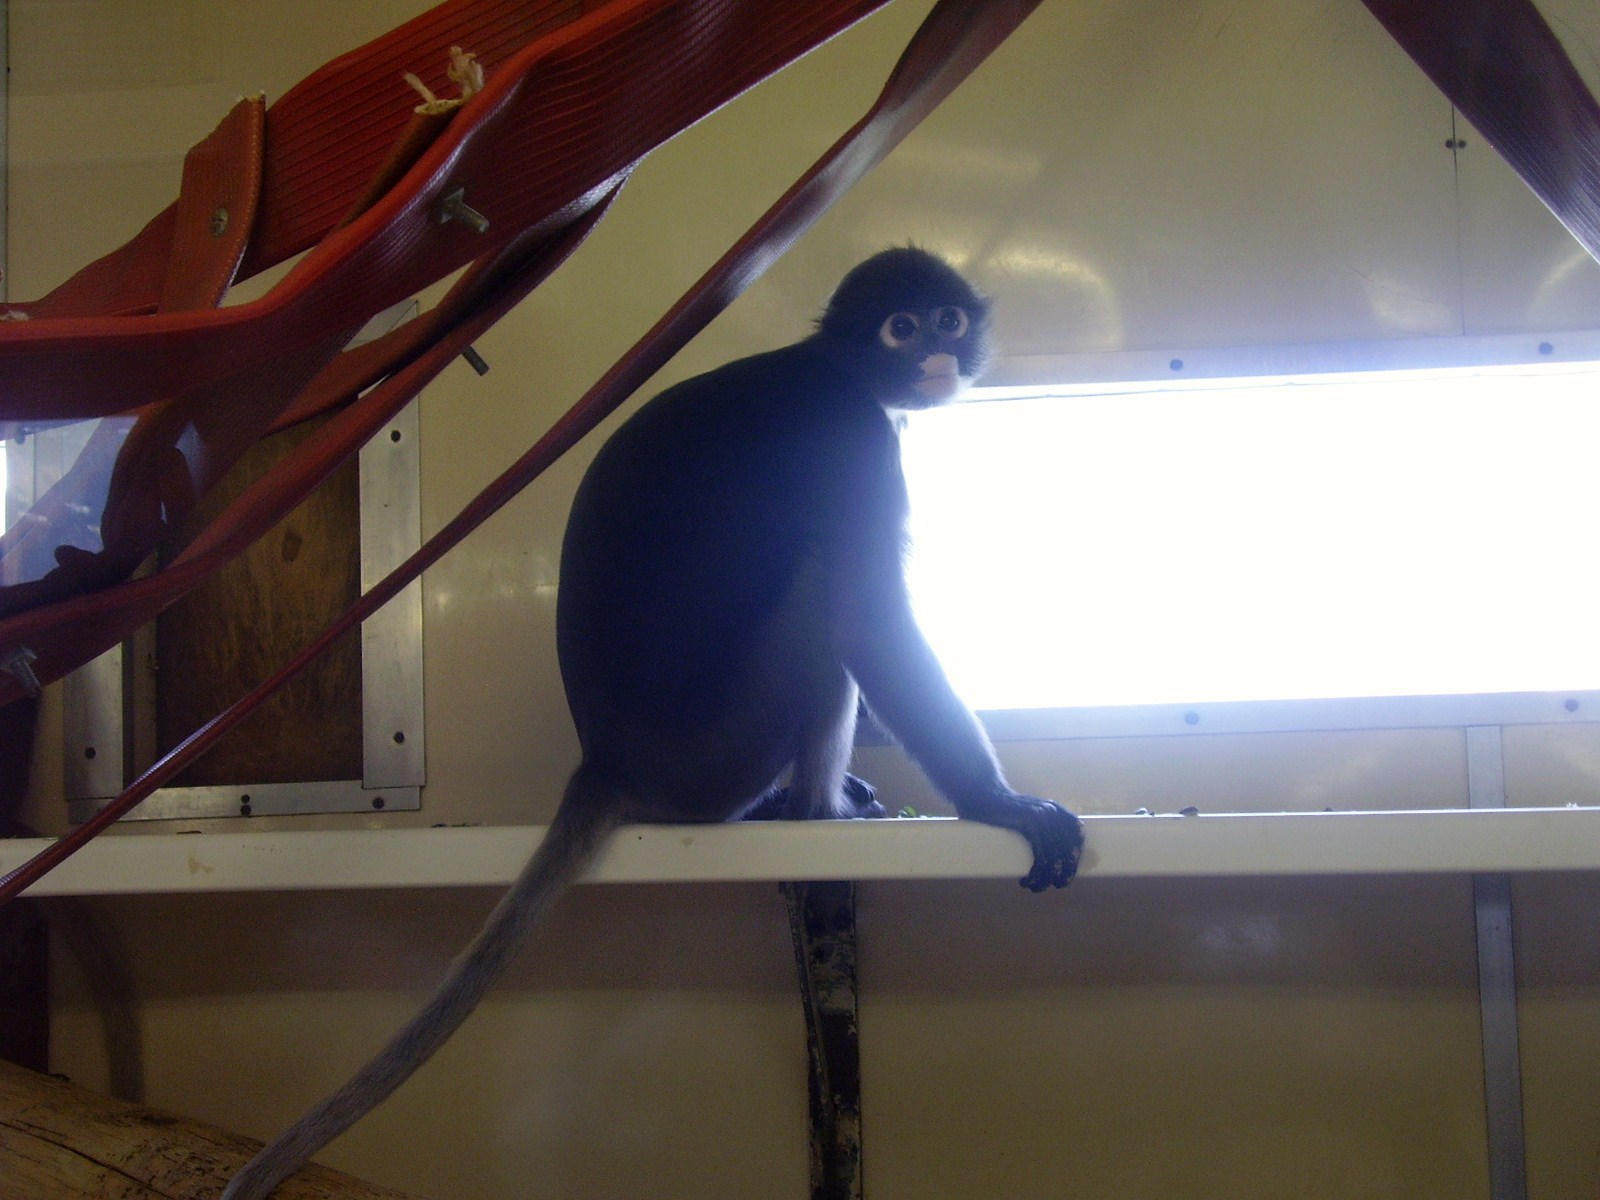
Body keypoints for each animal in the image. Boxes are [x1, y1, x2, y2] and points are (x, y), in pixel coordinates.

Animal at [222, 247, 1083, 1199]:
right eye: (901, 327)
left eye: (947, 319)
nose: (935, 349)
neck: (836, 366)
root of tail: (605, 760)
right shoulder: (853, 439)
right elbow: (868, 622)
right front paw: (1001, 804)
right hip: (723, 742)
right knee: (821, 585)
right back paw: (813, 811)